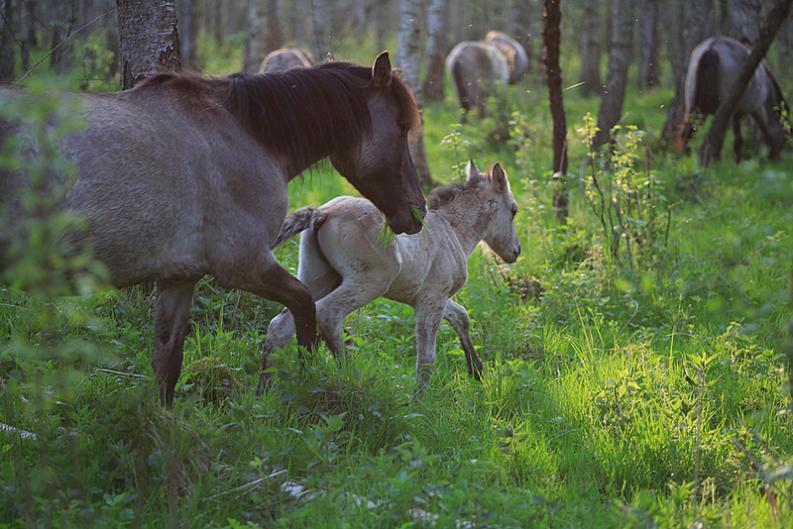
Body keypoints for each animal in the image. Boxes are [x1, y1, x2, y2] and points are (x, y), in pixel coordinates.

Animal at [0, 50, 426, 404]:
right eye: (401, 125)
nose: (416, 212)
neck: (247, 135)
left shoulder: (179, 277)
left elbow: (167, 361)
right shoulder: (243, 265)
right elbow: (305, 309)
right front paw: (305, 384)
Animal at [262, 159, 524, 386]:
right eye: (513, 210)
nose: (516, 251)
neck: (451, 230)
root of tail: (323, 213)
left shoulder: (429, 298)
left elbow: (461, 315)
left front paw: (476, 370)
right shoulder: (433, 298)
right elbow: (427, 358)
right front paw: (417, 404)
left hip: (318, 279)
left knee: (280, 325)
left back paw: (263, 391)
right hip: (369, 284)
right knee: (327, 315)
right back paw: (351, 378)